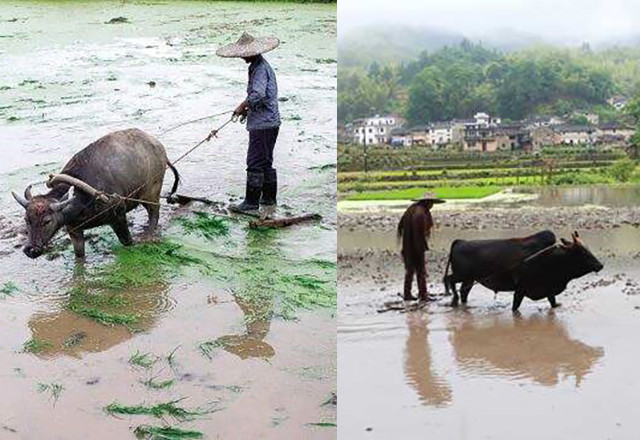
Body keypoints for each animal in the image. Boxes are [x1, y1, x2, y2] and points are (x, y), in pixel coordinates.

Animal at [10, 127, 180, 260]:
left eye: (47, 221)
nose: (30, 250)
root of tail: (159, 146)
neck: (82, 198)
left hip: (151, 193)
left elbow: (128, 242)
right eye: (26, 219)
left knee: (154, 213)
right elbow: (79, 256)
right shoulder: (74, 230)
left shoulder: (118, 216)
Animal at [442, 230, 604, 312]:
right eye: (583, 252)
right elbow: (515, 308)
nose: (600, 265)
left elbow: (553, 303)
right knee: (448, 280)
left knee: (463, 292)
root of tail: (460, 241)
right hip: (462, 275)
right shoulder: (520, 290)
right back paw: (454, 299)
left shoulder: (548, 289)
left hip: (469, 279)